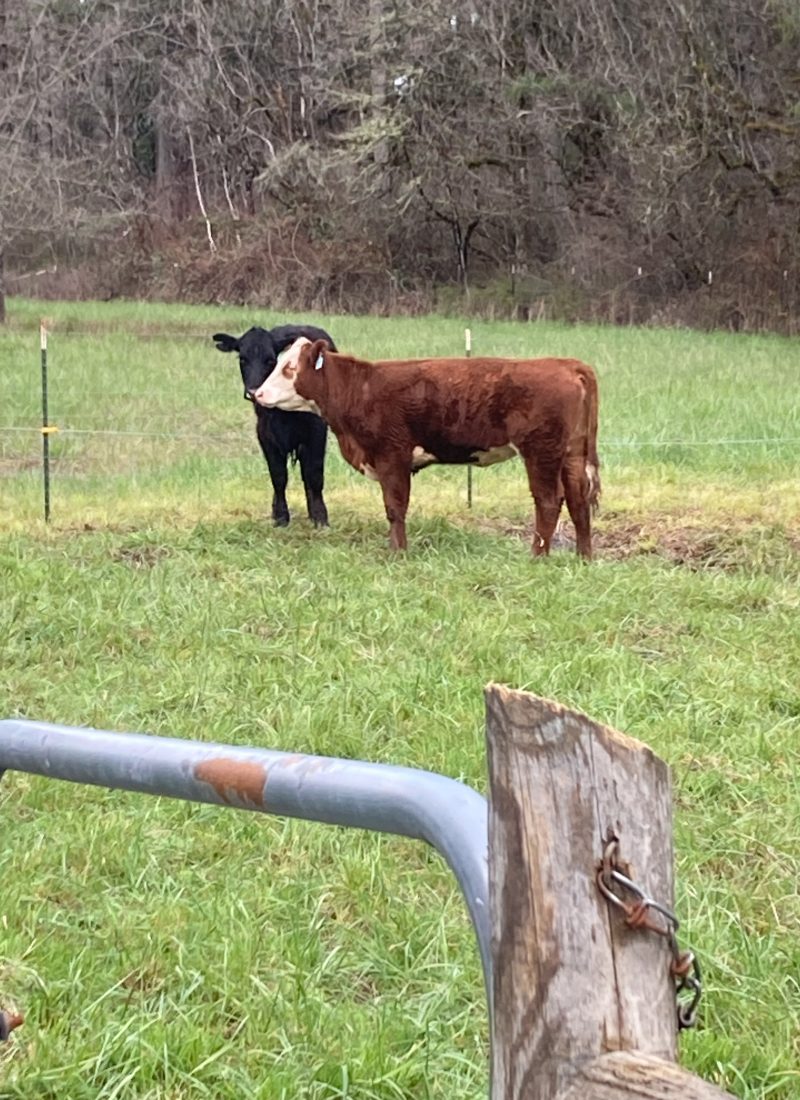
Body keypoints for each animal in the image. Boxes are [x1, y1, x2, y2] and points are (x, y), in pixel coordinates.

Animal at [211, 323, 336, 525]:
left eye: (270, 360)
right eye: (242, 359)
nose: (253, 392)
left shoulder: (317, 431)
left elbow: (314, 474)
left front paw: (320, 517)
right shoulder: (265, 434)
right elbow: (278, 476)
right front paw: (280, 515)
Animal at [253, 336, 598, 558]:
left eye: (289, 369)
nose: (257, 394)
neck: (361, 389)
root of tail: (566, 365)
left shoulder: (392, 455)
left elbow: (395, 507)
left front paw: (398, 553)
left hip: (541, 451)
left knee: (549, 501)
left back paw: (537, 556)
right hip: (572, 453)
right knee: (578, 500)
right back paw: (583, 557)